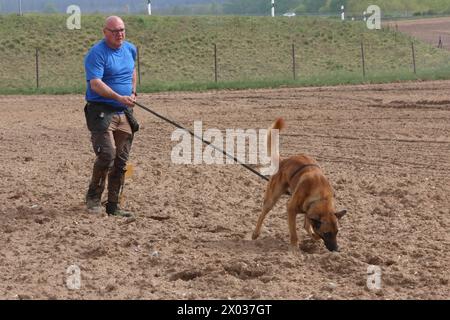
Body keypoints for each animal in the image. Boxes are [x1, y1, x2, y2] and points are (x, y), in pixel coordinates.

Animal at [251, 118, 346, 252]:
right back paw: (256, 233)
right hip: (271, 198)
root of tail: (284, 160)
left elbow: (308, 227)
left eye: (337, 232)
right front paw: (295, 247)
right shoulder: (290, 209)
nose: (337, 249)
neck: (321, 196)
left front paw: (314, 236)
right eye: (327, 233)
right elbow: (294, 232)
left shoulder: (309, 211)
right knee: (263, 213)